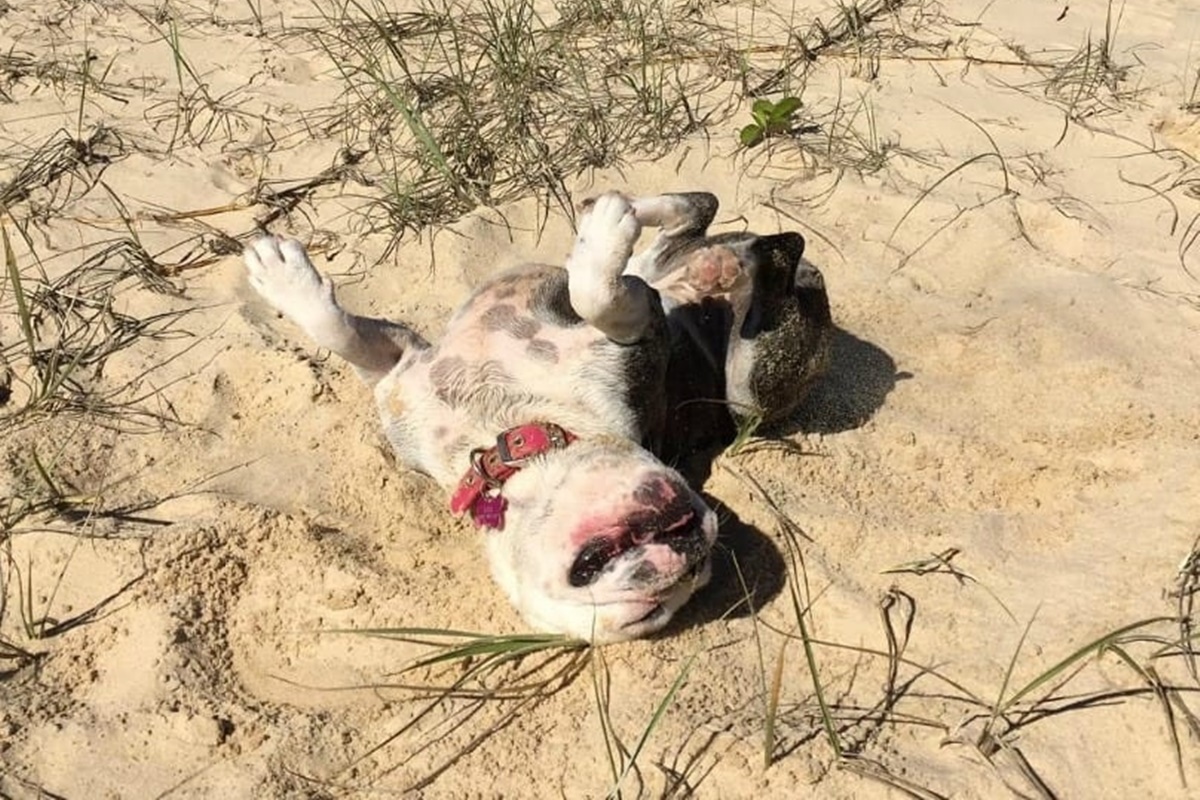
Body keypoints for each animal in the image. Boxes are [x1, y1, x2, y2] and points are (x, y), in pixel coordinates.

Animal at [238, 191, 830, 642]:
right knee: (686, 227)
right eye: (590, 568)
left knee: (705, 229)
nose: (688, 548)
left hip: (749, 390)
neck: (503, 442)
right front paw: (285, 280)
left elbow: (596, 296)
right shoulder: (397, 370)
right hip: (684, 298)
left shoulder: (637, 333)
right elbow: (337, 331)